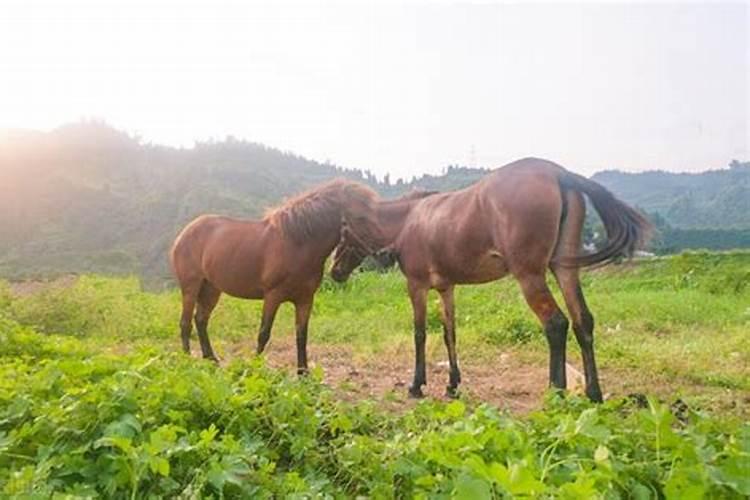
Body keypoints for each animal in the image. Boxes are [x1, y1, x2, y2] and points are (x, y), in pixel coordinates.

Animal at [170, 178, 382, 374]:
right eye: (361, 218)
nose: (338, 273)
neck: (297, 244)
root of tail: (184, 234)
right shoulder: (272, 296)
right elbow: (264, 333)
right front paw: (253, 367)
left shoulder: (305, 299)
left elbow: (301, 335)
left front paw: (303, 373)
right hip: (191, 287)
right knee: (185, 323)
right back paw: (187, 360)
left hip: (211, 289)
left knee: (201, 320)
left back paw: (211, 359)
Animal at [332, 157, 656, 402]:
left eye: (343, 233)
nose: (335, 272)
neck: (409, 221)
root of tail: (559, 173)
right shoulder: (446, 288)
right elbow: (450, 333)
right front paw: (452, 384)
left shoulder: (417, 286)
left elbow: (420, 334)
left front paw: (416, 385)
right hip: (564, 269)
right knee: (582, 321)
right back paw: (593, 393)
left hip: (529, 275)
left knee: (556, 323)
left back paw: (556, 391)